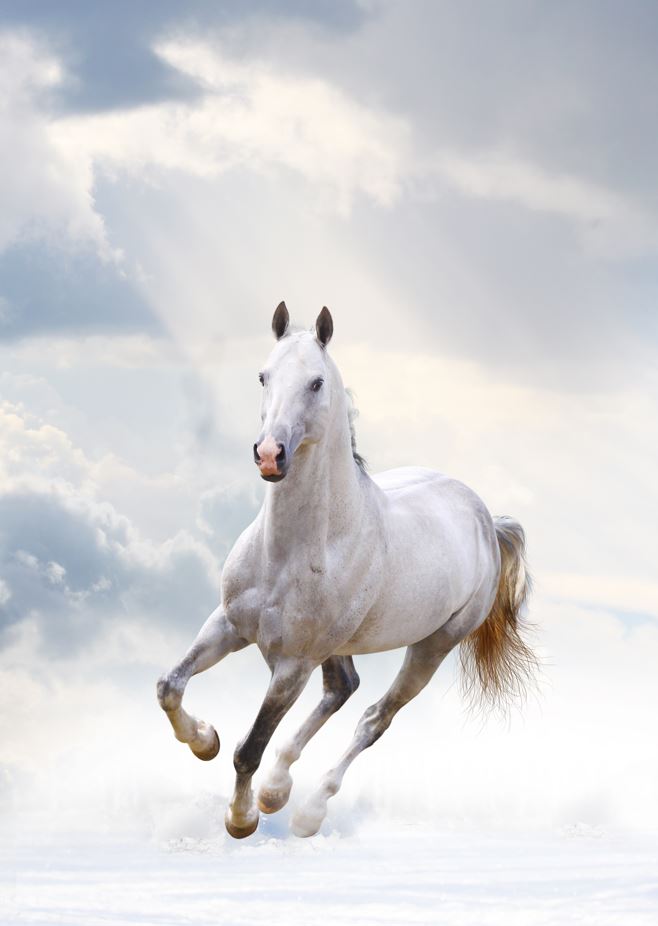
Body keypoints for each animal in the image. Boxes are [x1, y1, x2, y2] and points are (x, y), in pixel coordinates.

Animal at [157, 303, 536, 839]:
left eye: (316, 382)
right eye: (263, 376)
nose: (270, 454)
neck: (289, 552)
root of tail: (486, 519)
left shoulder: (293, 664)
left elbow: (249, 748)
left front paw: (241, 818)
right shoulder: (229, 624)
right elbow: (170, 686)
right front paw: (204, 740)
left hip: (432, 647)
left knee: (374, 718)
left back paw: (306, 811)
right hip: (338, 646)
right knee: (343, 688)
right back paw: (278, 791)